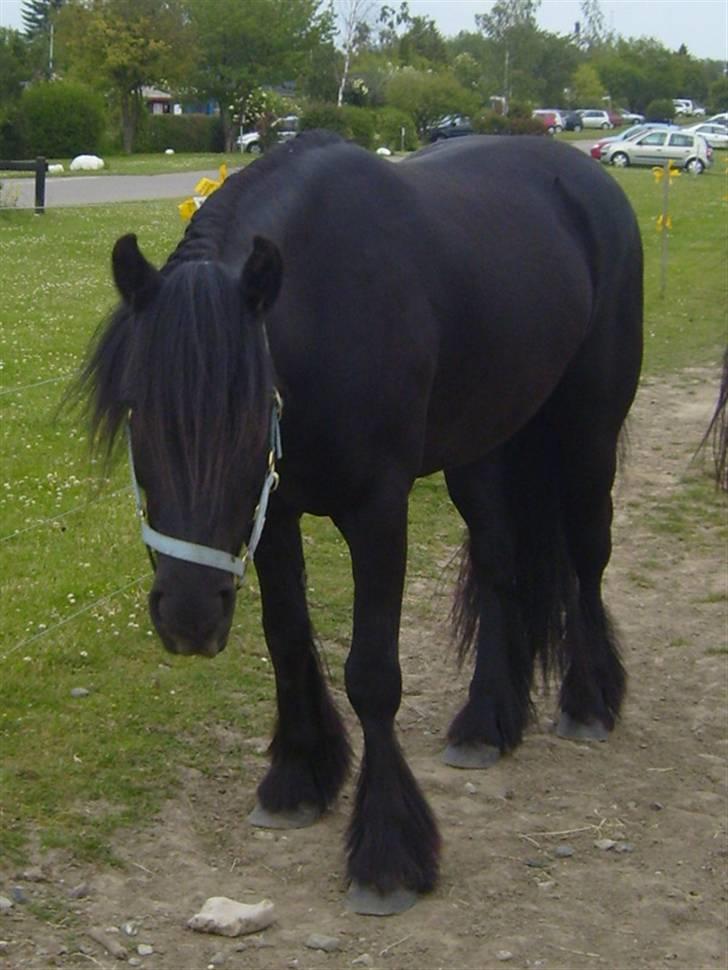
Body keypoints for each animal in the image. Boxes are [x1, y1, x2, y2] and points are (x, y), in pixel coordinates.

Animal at [76, 131, 643, 915]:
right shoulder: (274, 511)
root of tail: (593, 180)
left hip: (588, 430)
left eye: (251, 416)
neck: (326, 303)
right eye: (138, 410)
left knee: (588, 558)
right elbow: (287, 641)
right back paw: (486, 722)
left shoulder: (379, 512)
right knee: (501, 567)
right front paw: (296, 779)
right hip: (484, 449)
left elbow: (372, 674)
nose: (188, 615)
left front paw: (387, 852)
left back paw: (589, 700)